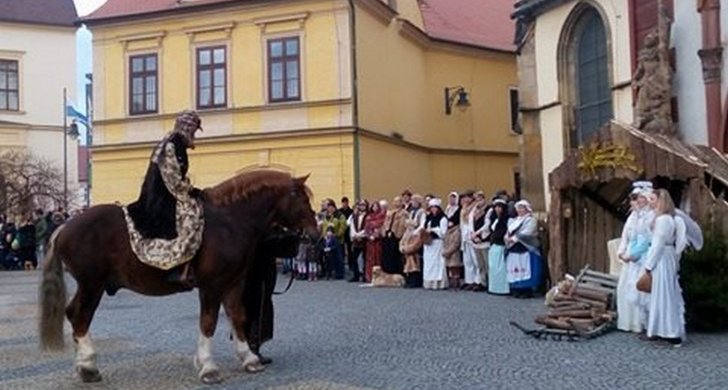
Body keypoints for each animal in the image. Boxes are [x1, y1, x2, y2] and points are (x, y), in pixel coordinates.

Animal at [38, 170, 318, 384]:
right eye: (301, 199)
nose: (315, 234)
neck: (229, 222)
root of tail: (64, 226)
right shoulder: (211, 286)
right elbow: (208, 323)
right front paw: (208, 368)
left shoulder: (234, 284)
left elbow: (238, 317)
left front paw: (249, 358)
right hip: (91, 285)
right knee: (80, 316)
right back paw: (88, 368)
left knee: (75, 315)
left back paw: (84, 365)